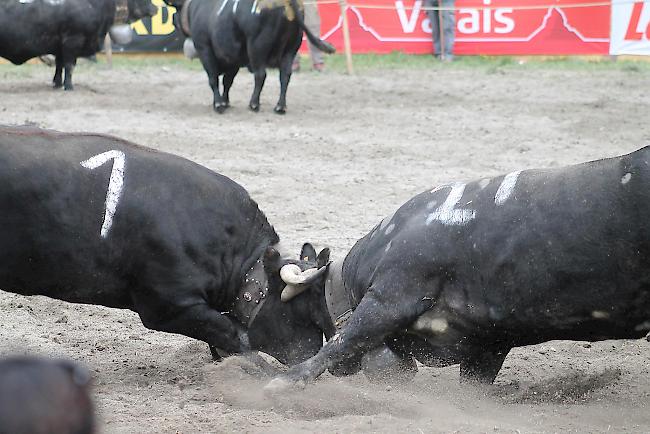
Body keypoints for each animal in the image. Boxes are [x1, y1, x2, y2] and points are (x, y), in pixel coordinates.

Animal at [0, 0, 156, 90]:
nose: (155, 8)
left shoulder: (60, 47)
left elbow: (60, 65)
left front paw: (57, 84)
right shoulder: (72, 41)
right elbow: (69, 66)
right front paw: (69, 86)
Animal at [165, 0, 334, 113]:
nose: (173, 20)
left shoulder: (204, 49)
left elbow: (213, 79)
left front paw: (219, 104)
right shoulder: (232, 58)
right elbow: (227, 81)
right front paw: (225, 102)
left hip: (257, 48)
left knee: (260, 75)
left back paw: (254, 104)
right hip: (290, 50)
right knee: (285, 76)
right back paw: (280, 106)